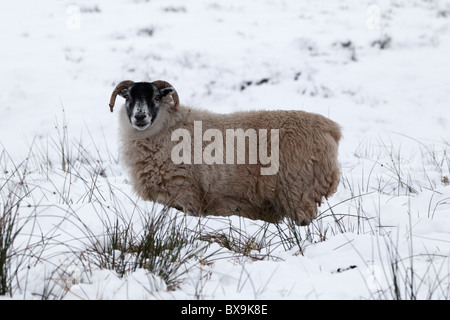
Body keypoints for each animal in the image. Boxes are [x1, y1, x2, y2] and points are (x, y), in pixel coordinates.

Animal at [109, 79, 342, 225]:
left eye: (156, 97)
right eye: (128, 97)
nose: (140, 117)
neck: (168, 127)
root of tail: (331, 129)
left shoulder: (185, 193)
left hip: (299, 190)